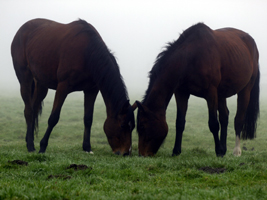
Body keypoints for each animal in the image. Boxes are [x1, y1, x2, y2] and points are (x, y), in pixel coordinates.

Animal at [11, 18, 135, 155]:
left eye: (133, 127)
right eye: (123, 125)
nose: (126, 152)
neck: (88, 53)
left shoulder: (91, 90)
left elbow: (88, 119)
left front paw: (87, 147)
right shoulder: (63, 87)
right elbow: (53, 118)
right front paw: (43, 147)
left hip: (41, 85)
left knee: (34, 109)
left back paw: (29, 140)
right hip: (25, 78)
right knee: (28, 111)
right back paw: (30, 146)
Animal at [135, 22, 260, 157]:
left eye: (142, 126)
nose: (142, 154)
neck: (191, 57)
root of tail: (252, 43)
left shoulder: (211, 94)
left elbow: (213, 124)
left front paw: (218, 151)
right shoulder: (181, 93)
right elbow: (180, 122)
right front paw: (176, 151)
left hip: (245, 90)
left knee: (238, 119)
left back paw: (236, 151)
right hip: (221, 94)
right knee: (224, 117)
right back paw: (224, 149)